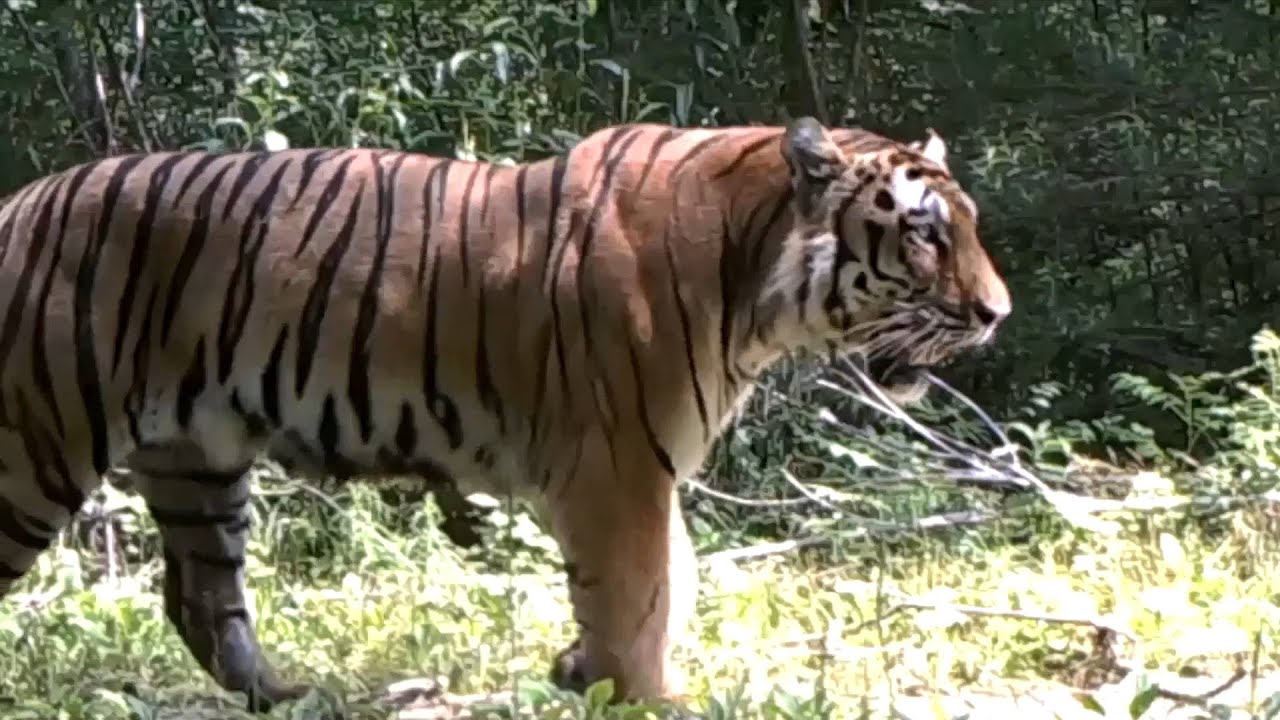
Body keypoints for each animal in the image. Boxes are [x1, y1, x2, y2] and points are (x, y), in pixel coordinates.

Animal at [0, 116, 1011, 711]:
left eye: (963, 225)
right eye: (925, 233)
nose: (997, 313)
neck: (757, 284)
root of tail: (18, 202)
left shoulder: (642, 471)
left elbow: (673, 583)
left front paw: (584, 673)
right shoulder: (617, 467)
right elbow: (640, 596)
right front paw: (641, 695)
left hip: (196, 459)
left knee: (201, 598)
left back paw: (289, 695)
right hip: (36, 442)